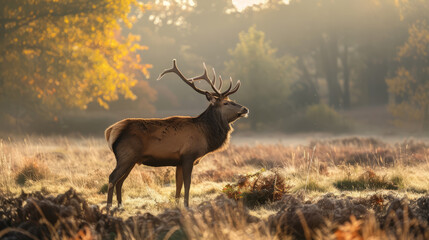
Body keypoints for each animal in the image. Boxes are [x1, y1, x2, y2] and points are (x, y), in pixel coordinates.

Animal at [104, 59, 249, 208]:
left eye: (232, 101)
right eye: (226, 103)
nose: (245, 109)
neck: (206, 135)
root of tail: (111, 131)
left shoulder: (179, 161)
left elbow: (178, 186)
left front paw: (178, 205)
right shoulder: (188, 155)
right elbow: (188, 184)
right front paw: (187, 205)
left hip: (132, 159)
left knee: (120, 181)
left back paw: (120, 205)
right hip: (126, 155)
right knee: (112, 177)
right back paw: (109, 206)